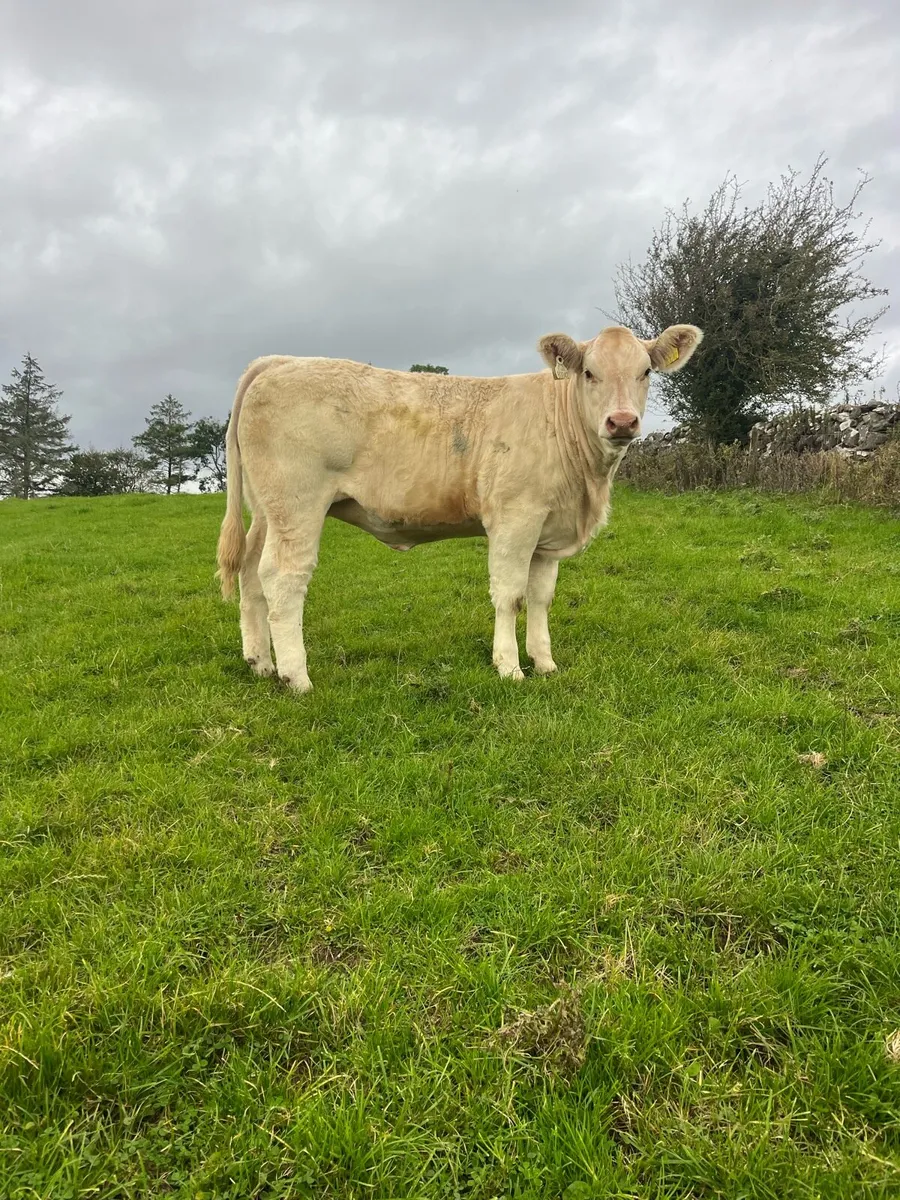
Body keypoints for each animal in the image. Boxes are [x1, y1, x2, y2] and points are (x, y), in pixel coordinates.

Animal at [216, 322, 702, 691]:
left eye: (645, 371)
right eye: (589, 372)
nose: (622, 421)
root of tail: (280, 360)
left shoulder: (549, 531)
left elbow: (541, 597)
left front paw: (545, 663)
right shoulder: (515, 518)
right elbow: (510, 595)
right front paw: (510, 667)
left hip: (267, 510)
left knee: (251, 573)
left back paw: (260, 663)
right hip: (297, 504)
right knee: (282, 579)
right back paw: (296, 678)